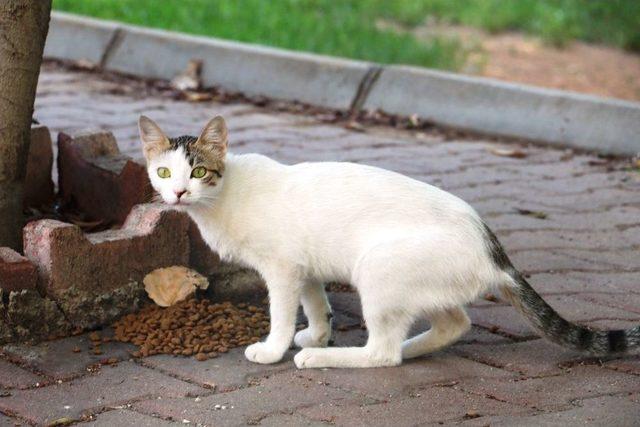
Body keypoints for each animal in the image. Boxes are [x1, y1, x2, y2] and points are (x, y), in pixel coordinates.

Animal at [138, 115, 636, 370]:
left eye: (198, 171)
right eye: (163, 172)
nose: (177, 193)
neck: (222, 198)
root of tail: (491, 247)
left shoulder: (281, 270)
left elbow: (281, 314)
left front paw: (277, 349)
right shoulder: (305, 267)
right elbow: (316, 304)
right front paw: (318, 333)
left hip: (378, 268)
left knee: (383, 355)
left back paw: (325, 358)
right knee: (450, 325)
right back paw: (408, 347)